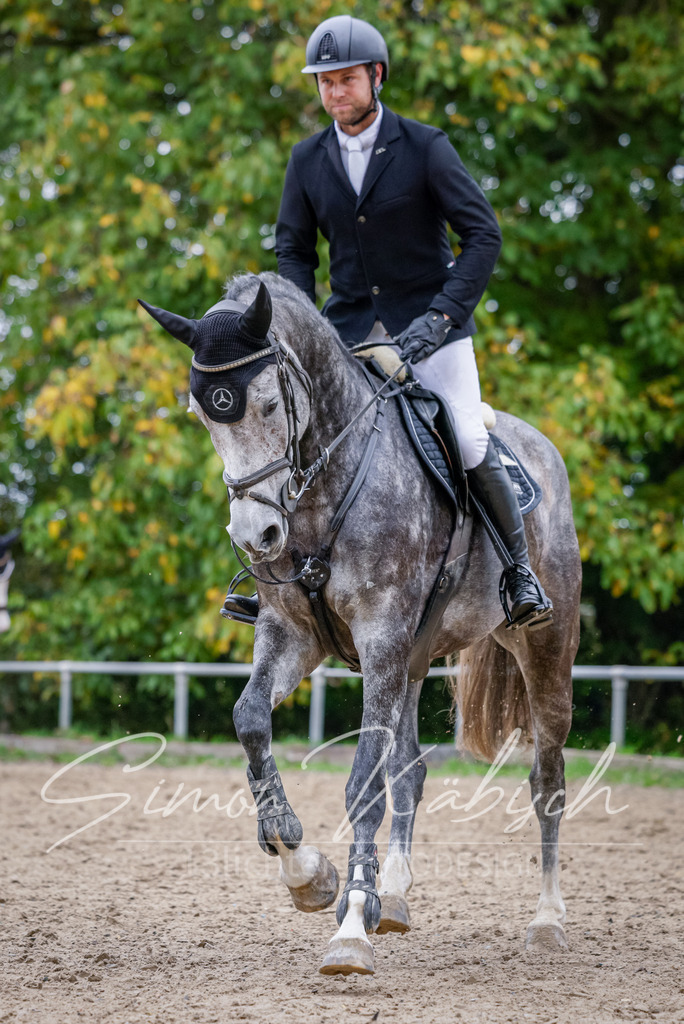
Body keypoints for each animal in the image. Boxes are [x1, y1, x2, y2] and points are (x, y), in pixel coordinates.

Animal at [141, 271, 581, 976]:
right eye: (204, 413)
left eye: (270, 405)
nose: (256, 536)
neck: (322, 490)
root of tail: (538, 446)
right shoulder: (293, 635)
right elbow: (250, 721)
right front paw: (306, 872)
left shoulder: (379, 636)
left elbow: (363, 783)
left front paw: (349, 926)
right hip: (415, 654)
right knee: (411, 769)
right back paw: (394, 897)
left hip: (543, 646)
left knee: (547, 780)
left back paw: (546, 920)